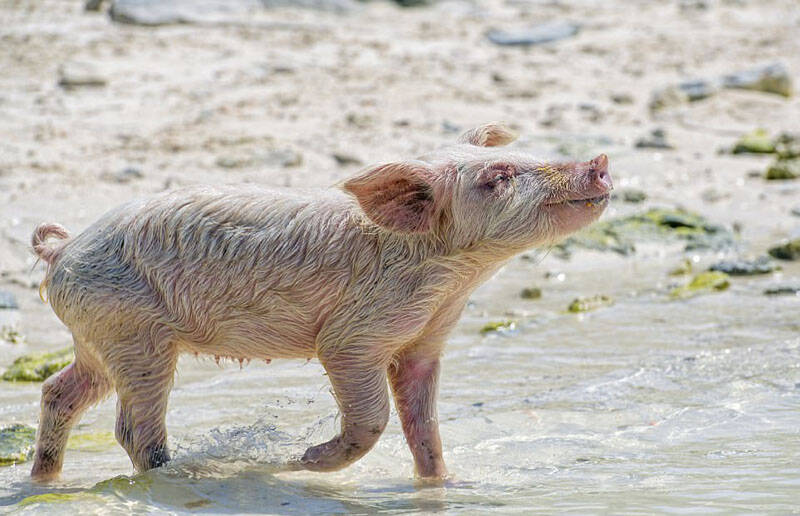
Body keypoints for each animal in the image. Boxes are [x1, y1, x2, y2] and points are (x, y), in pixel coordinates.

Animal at [28, 123, 608, 482]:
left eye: (528, 158)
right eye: (499, 177)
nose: (600, 161)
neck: (452, 280)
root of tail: (62, 250)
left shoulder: (425, 340)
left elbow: (425, 425)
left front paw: (444, 484)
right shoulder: (353, 336)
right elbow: (373, 417)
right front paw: (300, 462)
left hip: (99, 334)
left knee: (59, 391)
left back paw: (45, 480)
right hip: (133, 332)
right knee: (132, 429)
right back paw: (184, 478)